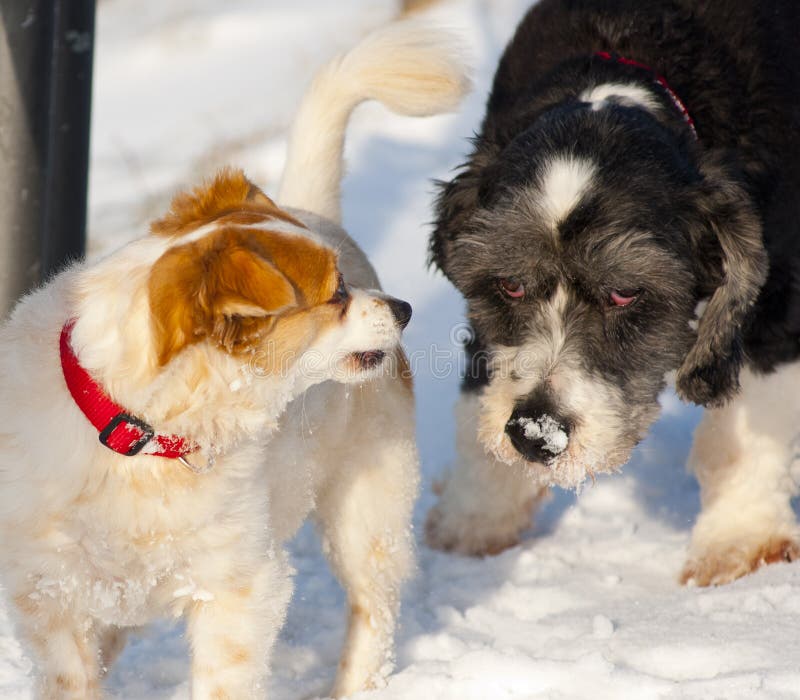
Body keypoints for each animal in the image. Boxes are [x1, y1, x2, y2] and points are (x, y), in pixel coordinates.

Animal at [0, 19, 468, 696]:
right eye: (337, 293)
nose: (403, 309)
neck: (138, 438)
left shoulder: (240, 588)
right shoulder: (52, 600)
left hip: (368, 507)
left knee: (373, 609)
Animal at [424, 0, 800, 584]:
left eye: (624, 293)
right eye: (510, 284)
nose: (535, 433)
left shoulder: (775, 296)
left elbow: (744, 431)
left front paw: (739, 540)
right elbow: (476, 400)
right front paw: (474, 521)